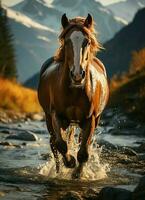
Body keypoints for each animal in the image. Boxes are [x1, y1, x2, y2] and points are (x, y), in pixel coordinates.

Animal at [37, 13, 109, 178]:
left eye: (87, 41)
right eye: (66, 41)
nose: (77, 75)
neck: (75, 91)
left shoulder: (90, 119)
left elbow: (84, 152)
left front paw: (77, 173)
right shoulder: (56, 115)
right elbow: (61, 144)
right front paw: (69, 162)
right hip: (49, 118)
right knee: (53, 143)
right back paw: (58, 170)